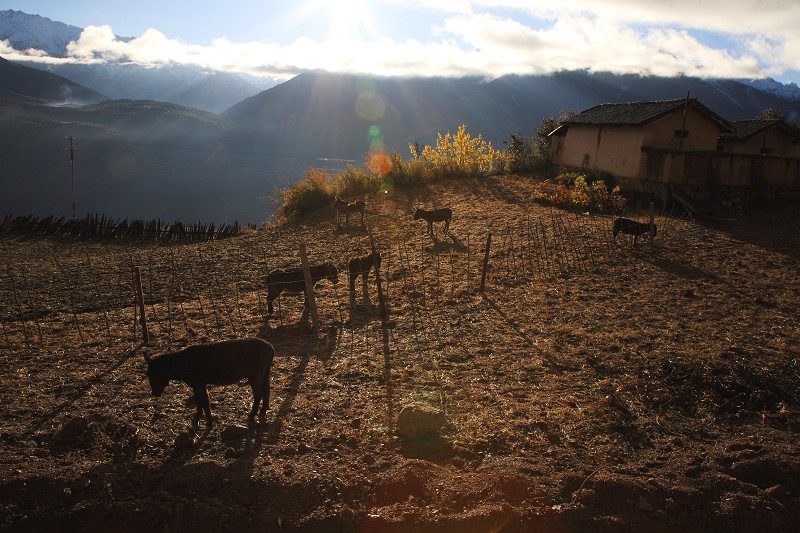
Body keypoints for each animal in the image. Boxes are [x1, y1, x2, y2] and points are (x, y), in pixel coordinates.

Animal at [145, 336, 276, 428]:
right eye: (147, 374)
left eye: (152, 373)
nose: (154, 393)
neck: (180, 367)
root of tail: (271, 349)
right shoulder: (196, 384)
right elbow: (198, 401)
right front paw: (197, 418)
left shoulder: (199, 383)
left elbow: (205, 401)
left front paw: (209, 422)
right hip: (265, 371)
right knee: (267, 389)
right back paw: (263, 410)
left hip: (255, 374)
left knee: (258, 393)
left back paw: (251, 414)